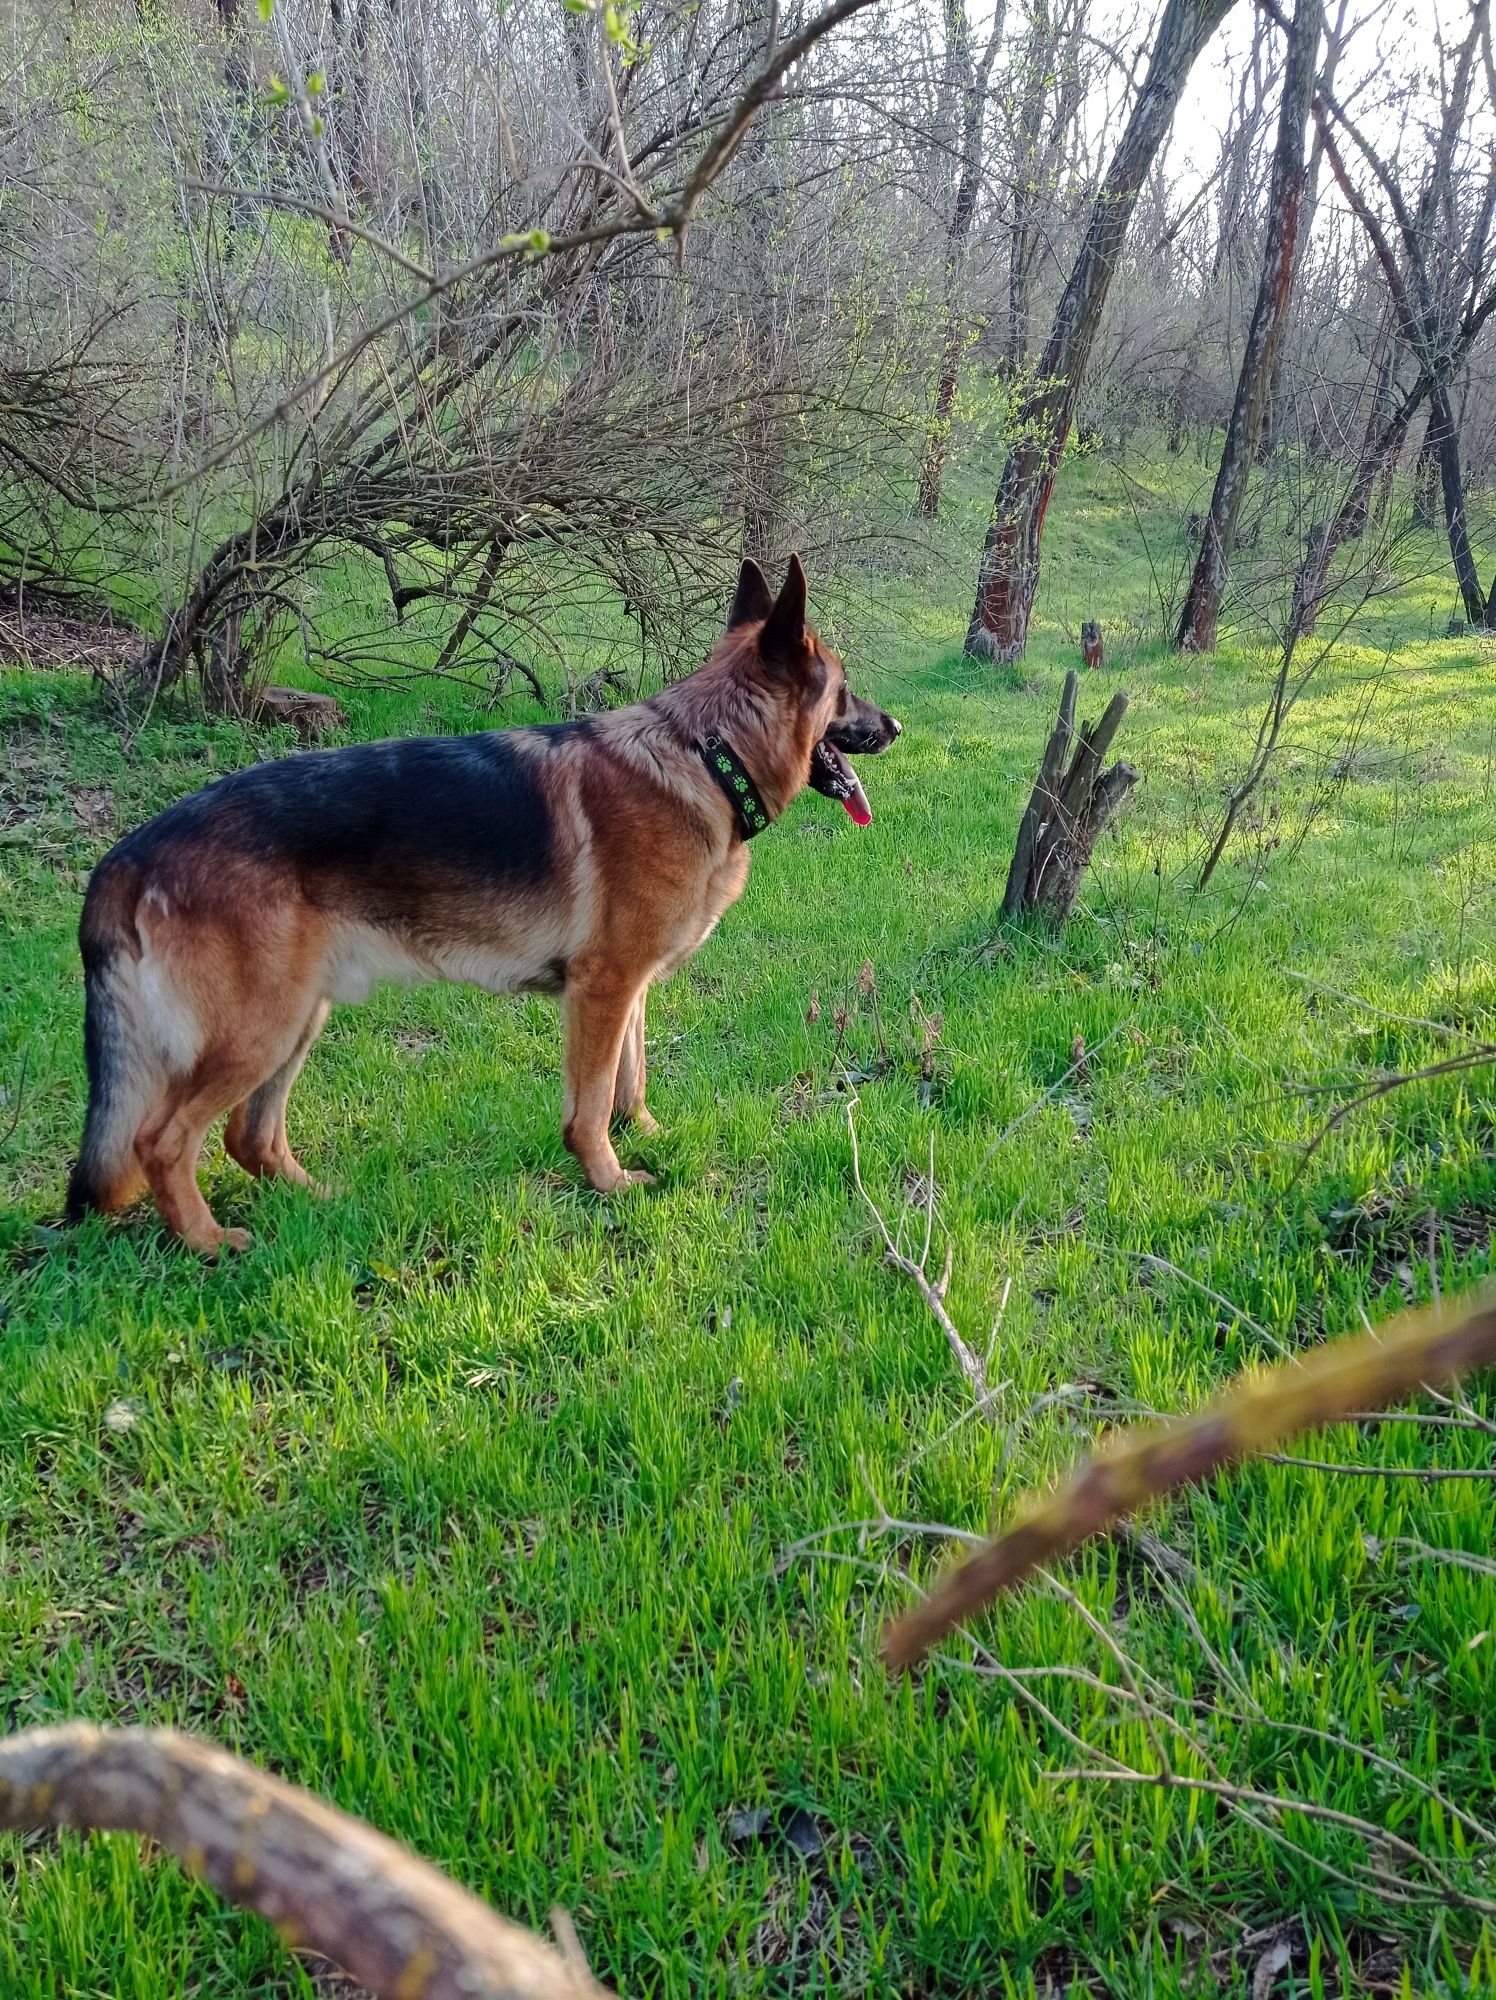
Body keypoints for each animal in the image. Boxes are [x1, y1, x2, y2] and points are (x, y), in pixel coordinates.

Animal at [64, 556, 900, 1248]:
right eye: (845, 688)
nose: (894, 725)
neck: (706, 753)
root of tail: (127, 854)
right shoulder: (601, 989)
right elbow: (591, 1104)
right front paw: (608, 1180)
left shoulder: (626, 988)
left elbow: (630, 1077)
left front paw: (648, 1134)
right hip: (259, 1027)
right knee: (162, 1142)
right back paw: (207, 1242)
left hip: (298, 1015)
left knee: (250, 1136)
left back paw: (318, 1202)